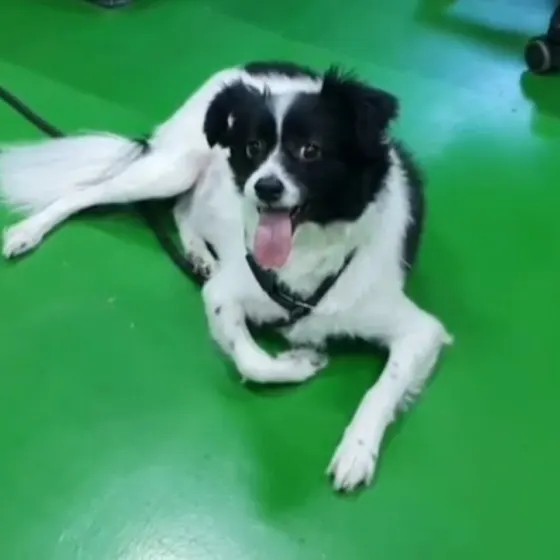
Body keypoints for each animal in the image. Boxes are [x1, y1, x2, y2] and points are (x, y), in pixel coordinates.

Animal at [0, 61, 452, 492]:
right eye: (254, 147)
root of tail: (245, 67)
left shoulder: (419, 329)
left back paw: (199, 254)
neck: (309, 250)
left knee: (183, 208)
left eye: (311, 150)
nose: (265, 187)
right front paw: (301, 362)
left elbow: (383, 386)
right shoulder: (224, 293)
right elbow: (251, 358)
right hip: (172, 168)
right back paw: (27, 231)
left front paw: (356, 451)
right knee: (90, 192)